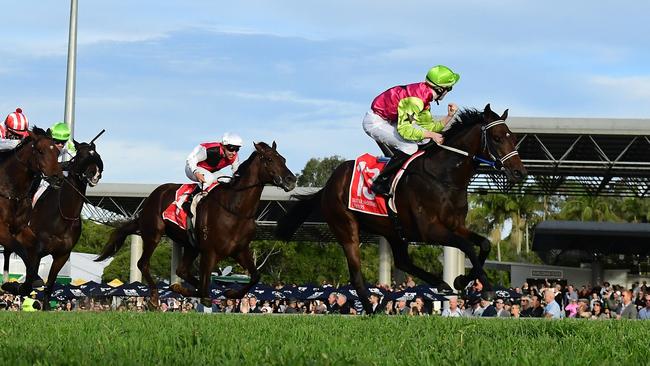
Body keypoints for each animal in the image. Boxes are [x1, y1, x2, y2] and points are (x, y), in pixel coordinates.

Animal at [0, 126, 63, 294]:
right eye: (40, 151)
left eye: (57, 153)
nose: (58, 178)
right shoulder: (2, 230)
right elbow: (20, 250)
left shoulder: (20, 228)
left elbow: (34, 248)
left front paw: (30, 282)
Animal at [94, 142, 296, 308]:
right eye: (269, 159)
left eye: (284, 159)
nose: (291, 180)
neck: (234, 209)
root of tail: (151, 198)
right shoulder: (210, 251)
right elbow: (205, 289)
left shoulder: (239, 250)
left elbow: (255, 277)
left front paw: (230, 292)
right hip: (153, 234)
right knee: (143, 263)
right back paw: (154, 298)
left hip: (190, 245)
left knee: (181, 271)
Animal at [276, 103, 524, 314]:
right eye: (497, 137)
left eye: (513, 138)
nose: (520, 172)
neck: (443, 176)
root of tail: (328, 185)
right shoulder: (429, 230)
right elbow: (467, 247)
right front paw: (485, 287)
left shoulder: (455, 225)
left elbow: (484, 244)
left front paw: (461, 280)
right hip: (346, 228)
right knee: (356, 275)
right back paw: (372, 309)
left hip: (393, 231)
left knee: (402, 261)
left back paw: (439, 283)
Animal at [362, 64, 458, 196]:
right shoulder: (413, 103)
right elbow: (404, 128)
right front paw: (435, 137)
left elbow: (428, 125)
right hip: (375, 127)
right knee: (409, 148)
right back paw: (378, 186)